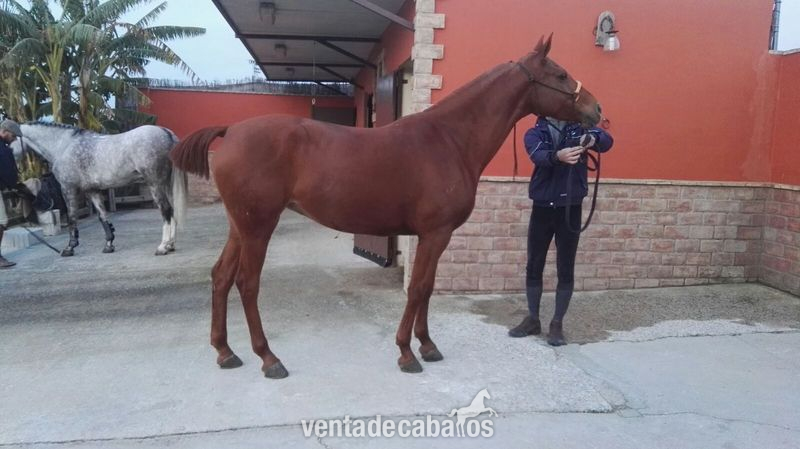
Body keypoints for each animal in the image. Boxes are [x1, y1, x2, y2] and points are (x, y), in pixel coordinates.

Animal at [15, 122, 187, 256]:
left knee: (166, 210)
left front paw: (69, 248)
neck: (63, 146)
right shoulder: (93, 190)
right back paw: (171, 245)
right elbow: (102, 216)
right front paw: (109, 245)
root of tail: (166, 132)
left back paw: (163, 247)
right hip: (167, 184)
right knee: (172, 210)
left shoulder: (68, 189)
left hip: (155, 184)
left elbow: (72, 217)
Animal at [170, 35, 603, 379]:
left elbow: (427, 287)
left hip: (239, 226)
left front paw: (428, 345)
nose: (596, 110)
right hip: (259, 226)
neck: (449, 140)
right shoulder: (435, 233)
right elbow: (417, 288)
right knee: (247, 283)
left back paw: (226, 352)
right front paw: (408, 353)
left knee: (221, 277)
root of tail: (231, 131)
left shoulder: (434, 237)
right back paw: (269, 358)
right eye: (560, 75)